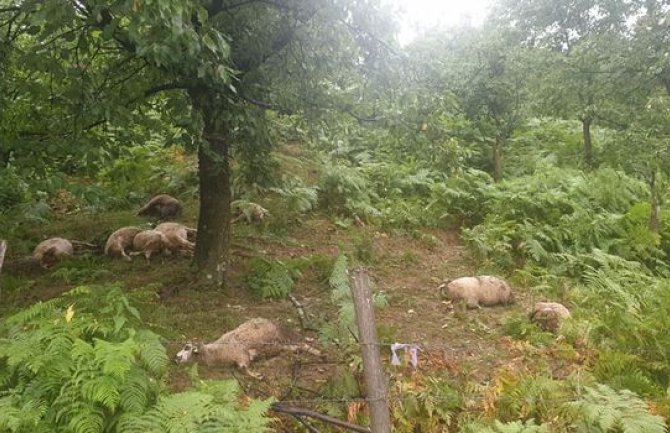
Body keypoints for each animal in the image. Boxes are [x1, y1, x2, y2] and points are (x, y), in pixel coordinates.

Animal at [176, 316, 322, 376]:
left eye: (187, 347)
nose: (176, 357)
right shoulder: (240, 359)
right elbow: (242, 368)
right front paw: (255, 374)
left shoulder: (242, 355)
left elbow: (245, 368)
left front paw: (256, 375)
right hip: (280, 344)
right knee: (297, 346)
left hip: (283, 333)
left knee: (301, 339)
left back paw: (318, 350)